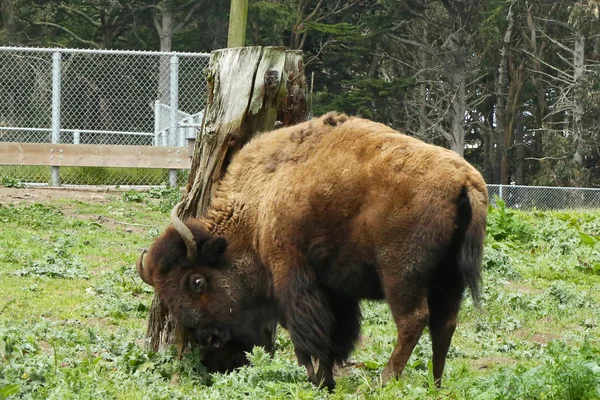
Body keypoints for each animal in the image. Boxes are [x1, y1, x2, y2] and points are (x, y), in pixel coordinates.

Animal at [137, 113, 488, 390]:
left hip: (401, 274)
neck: (259, 203)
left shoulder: (293, 273)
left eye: (196, 281)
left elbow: (308, 333)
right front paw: (326, 381)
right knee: (444, 324)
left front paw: (315, 379)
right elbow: (335, 334)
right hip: (449, 278)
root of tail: (465, 180)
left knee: (413, 320)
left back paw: (385, 381)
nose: (210, 339)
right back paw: (435, 382)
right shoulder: (336, 291)